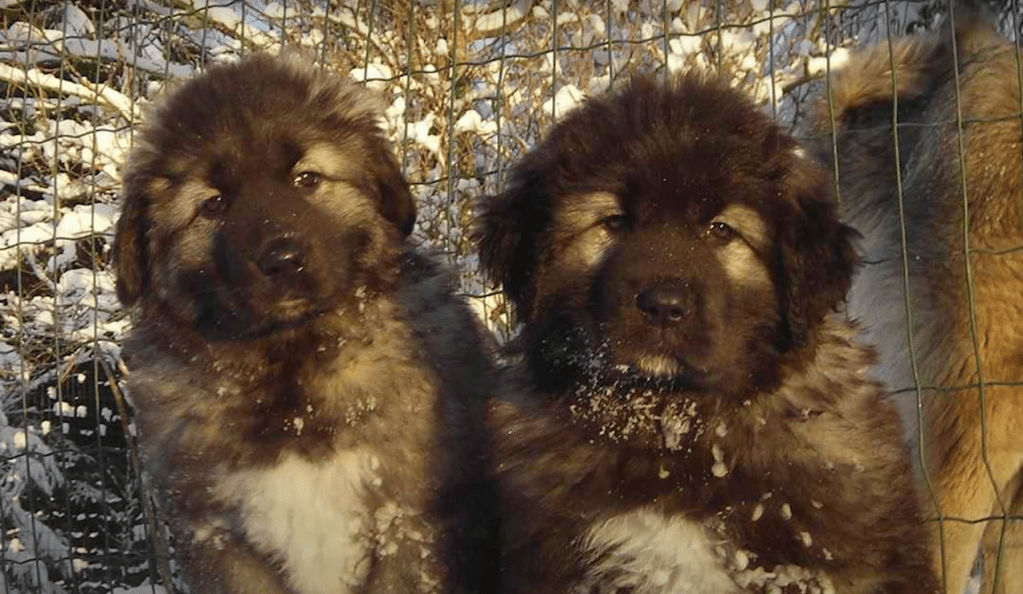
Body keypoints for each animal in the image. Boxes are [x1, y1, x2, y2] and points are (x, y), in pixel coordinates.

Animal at [114, 54, 497, 592]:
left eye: (307, 179)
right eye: (214, 204)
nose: (284, 260)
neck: (292, 370)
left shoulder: (409, 521)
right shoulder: (221, 540)